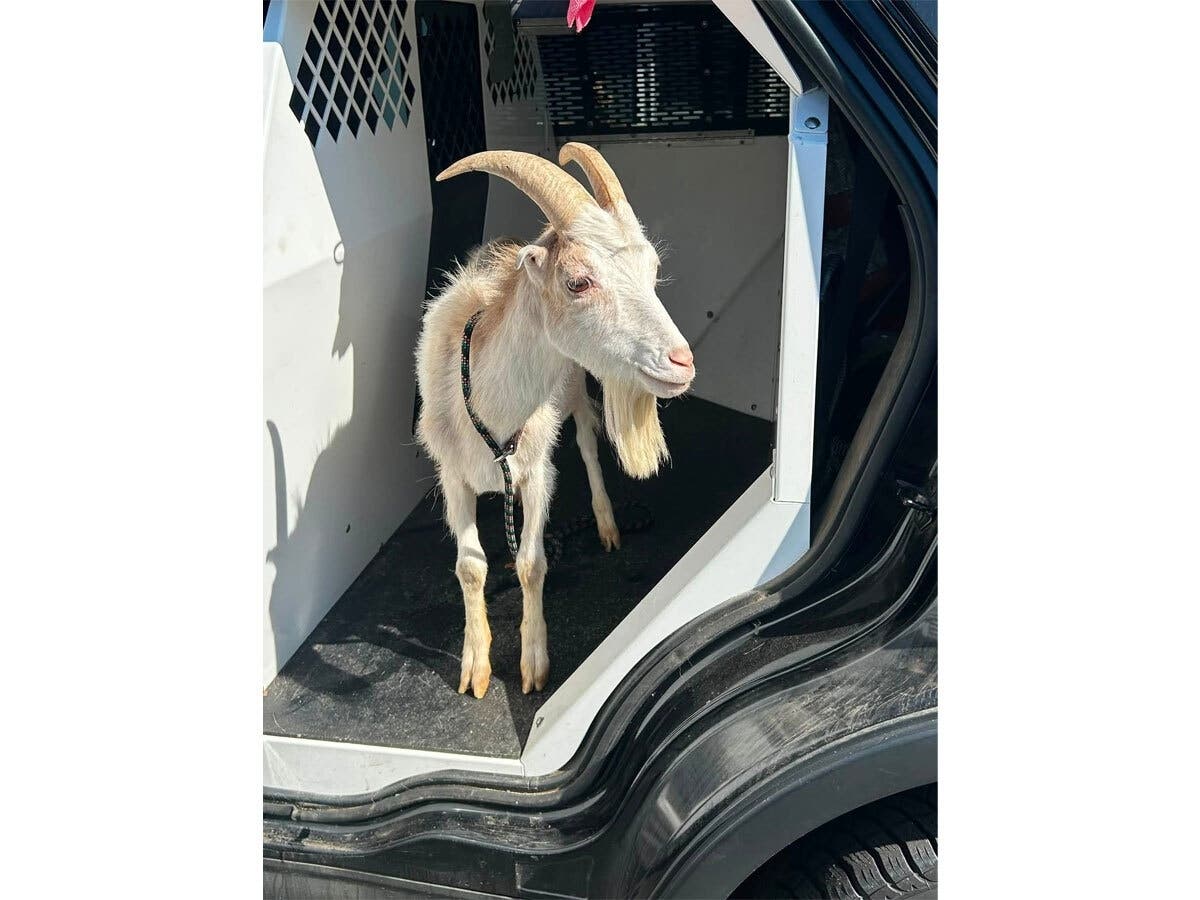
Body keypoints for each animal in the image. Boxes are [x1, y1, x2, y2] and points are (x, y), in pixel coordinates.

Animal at [415, 144, 695, 699]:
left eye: (652, 270)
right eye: (578, 282)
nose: (682, 362)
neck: (490, 411)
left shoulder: (536, 471)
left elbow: (531, 563)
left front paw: (533, 662)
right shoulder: (451, 475)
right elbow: (470, 566)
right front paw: (475, 667)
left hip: (575, 386)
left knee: (587, 441)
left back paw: (607, 525)